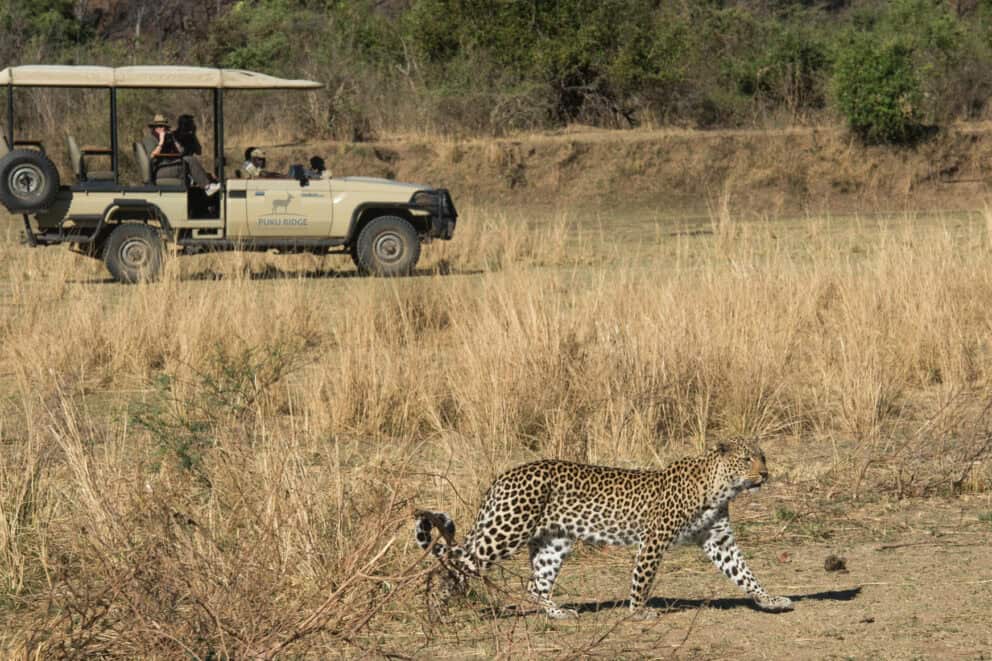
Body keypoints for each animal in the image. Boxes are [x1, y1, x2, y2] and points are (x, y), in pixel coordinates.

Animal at [414, 439, 793, 619]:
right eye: (746, 460)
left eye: (763, 457)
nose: (765, 474)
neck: (719, 488)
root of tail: (503, 477)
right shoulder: (654, 539)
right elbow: (642, 578)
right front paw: (638, 611)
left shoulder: (719, 541)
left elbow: (744, 573)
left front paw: (770, 600)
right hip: (506, 531)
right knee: (452, 565)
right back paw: (437, 610)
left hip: (553, 542)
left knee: (536, 586)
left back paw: (558, 614)